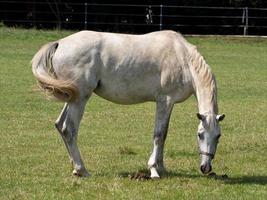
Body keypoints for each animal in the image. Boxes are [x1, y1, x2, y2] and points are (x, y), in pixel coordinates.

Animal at [31, 30, 226, 178]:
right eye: (200, 135)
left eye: (218, 136)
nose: (206, 168)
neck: (183, 58)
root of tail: (60, 43)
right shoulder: (165, 101)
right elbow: (158, 135)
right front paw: (154, 170)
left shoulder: (169, 105)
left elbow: (164, 135)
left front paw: (162, 168)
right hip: (80, 99)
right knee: (68, 129)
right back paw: (82, 169)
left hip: (72, 98)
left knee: (59, 125)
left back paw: (74, 167)